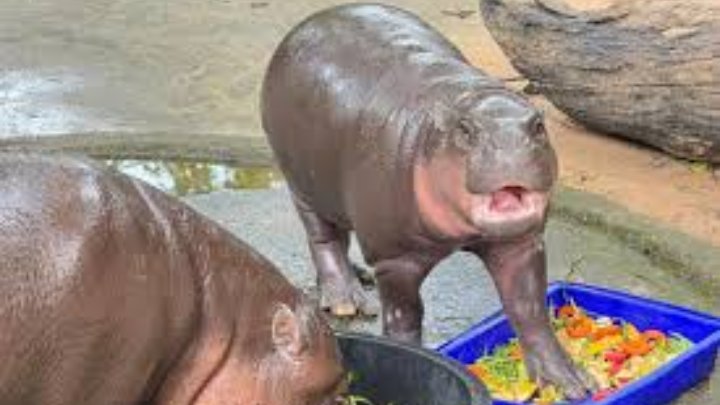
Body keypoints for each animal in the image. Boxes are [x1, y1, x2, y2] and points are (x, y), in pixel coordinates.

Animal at [261, 3, 596, 399]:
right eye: (466, 131)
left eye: (538, 125)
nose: (510, 145)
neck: (465, 100)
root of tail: (307, 23)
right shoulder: (395, 259)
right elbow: (405, 317)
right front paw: (411, 356)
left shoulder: (520, 242)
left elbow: (529, 308)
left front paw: (571, 383)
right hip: (301, 182)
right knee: (323, 238)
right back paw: (347, 302)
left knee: (341, 236)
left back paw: (360, 278)